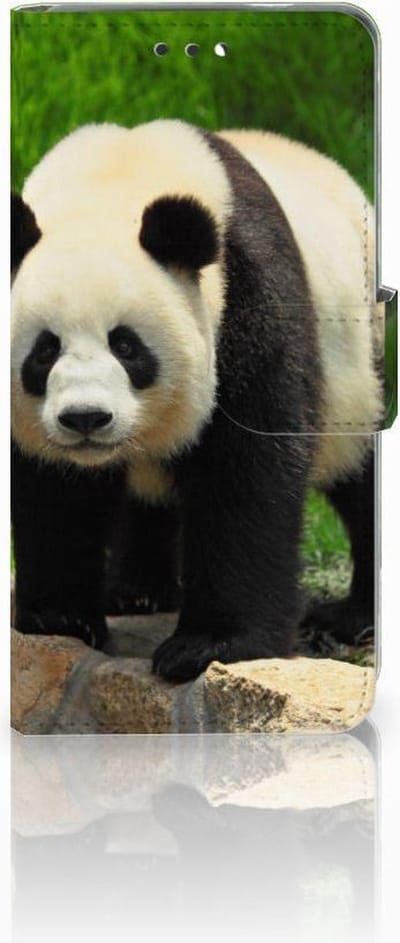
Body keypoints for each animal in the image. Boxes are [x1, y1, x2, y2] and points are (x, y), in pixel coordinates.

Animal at [11, 119, 383, 681]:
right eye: (45, 350)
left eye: (126, 346)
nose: (86, 419)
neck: (113, 183)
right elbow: (52, 487)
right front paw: (60, 617)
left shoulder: (245, 297)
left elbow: (246, 470)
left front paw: (209, 645)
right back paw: (137, 591)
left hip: (359, 372)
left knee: (360, 470)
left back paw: (351, 617)